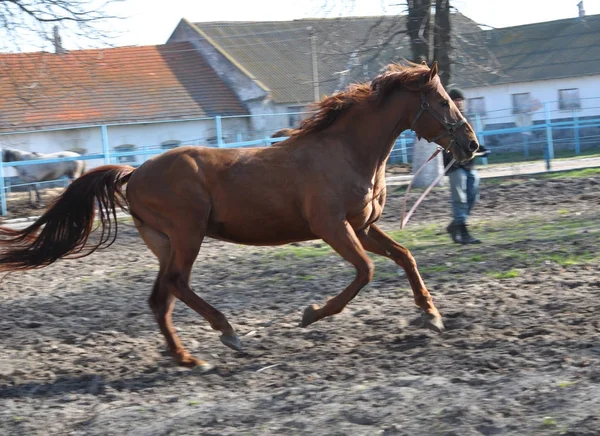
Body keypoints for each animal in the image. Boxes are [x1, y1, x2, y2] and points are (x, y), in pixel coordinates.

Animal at [0, 61, 478, 368]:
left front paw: (431, 315)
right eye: (441, 101)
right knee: (177, 284)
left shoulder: (362, 226)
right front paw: (311, 314)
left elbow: (404, 257)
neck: (345, 151)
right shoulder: (331, 227)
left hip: (164, 242)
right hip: (187, 234)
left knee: (160, 297)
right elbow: (365, 272)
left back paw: (188, 358)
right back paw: (227, 332)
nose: (471, 144)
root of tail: (134, 173)